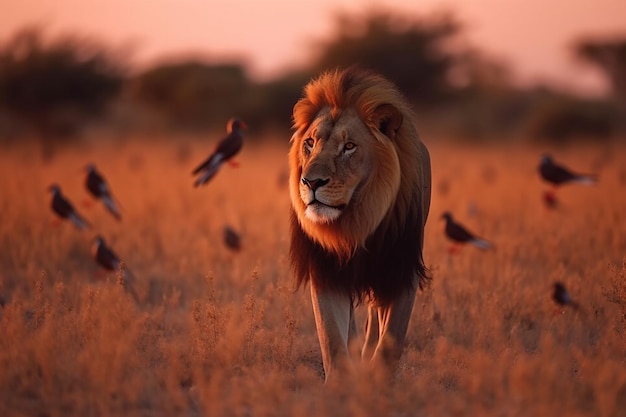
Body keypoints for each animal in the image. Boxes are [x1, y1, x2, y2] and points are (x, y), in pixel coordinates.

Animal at [288, 67, 428, 380]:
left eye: (349, 147)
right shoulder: (325, 269)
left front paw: (376, 382)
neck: (356, 221)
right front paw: (341, 383)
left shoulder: (401, 269)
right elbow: (332, 338)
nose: (311, 182)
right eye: (310, 143)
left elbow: (390, 340)